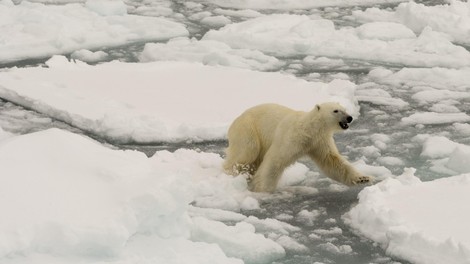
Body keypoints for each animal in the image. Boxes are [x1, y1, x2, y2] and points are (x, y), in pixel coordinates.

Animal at [224, 102, 370, 192]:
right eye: (336, 110)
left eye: (345, 109)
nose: (350, 118)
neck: (309, 128)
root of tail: (235, 121)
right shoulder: (292, 137)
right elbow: (275, 160)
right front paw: (263, 190)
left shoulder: (319, 141)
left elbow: (332, 161)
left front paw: (363, 179)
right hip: (248, 129)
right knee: (246, 153)